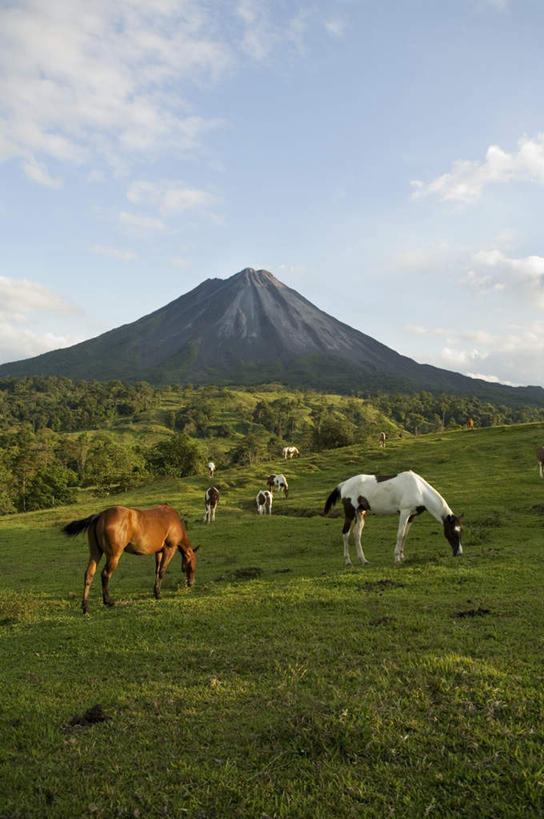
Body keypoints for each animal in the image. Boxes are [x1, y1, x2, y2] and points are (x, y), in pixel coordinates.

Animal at [63, 504, 197, 614]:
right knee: (105, 574)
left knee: (89, 574)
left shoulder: (159, 551)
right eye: (192, 566)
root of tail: (100, 515)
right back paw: (108, 601)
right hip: (114, 556)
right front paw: (158, 594)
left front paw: (155, 591)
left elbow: (157, 570)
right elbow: (162, 571)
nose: (191, 583)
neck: (173, 520)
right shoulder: (170, 549)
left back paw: (85, 607)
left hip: (96, 553)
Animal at [324, 470, 463, 566]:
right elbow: (400, 534)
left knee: (356, 533)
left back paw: (364, 560)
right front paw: (397, 559)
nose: (459, 553)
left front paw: (402, 556)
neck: (419, 490)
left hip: (361, 512)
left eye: (460, 532)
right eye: (453, 532)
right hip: (350, 512)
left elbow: (405, 535)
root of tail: (344, 484)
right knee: (345, 533)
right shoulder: (404, 512)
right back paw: (348, 561)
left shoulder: (411, 516)